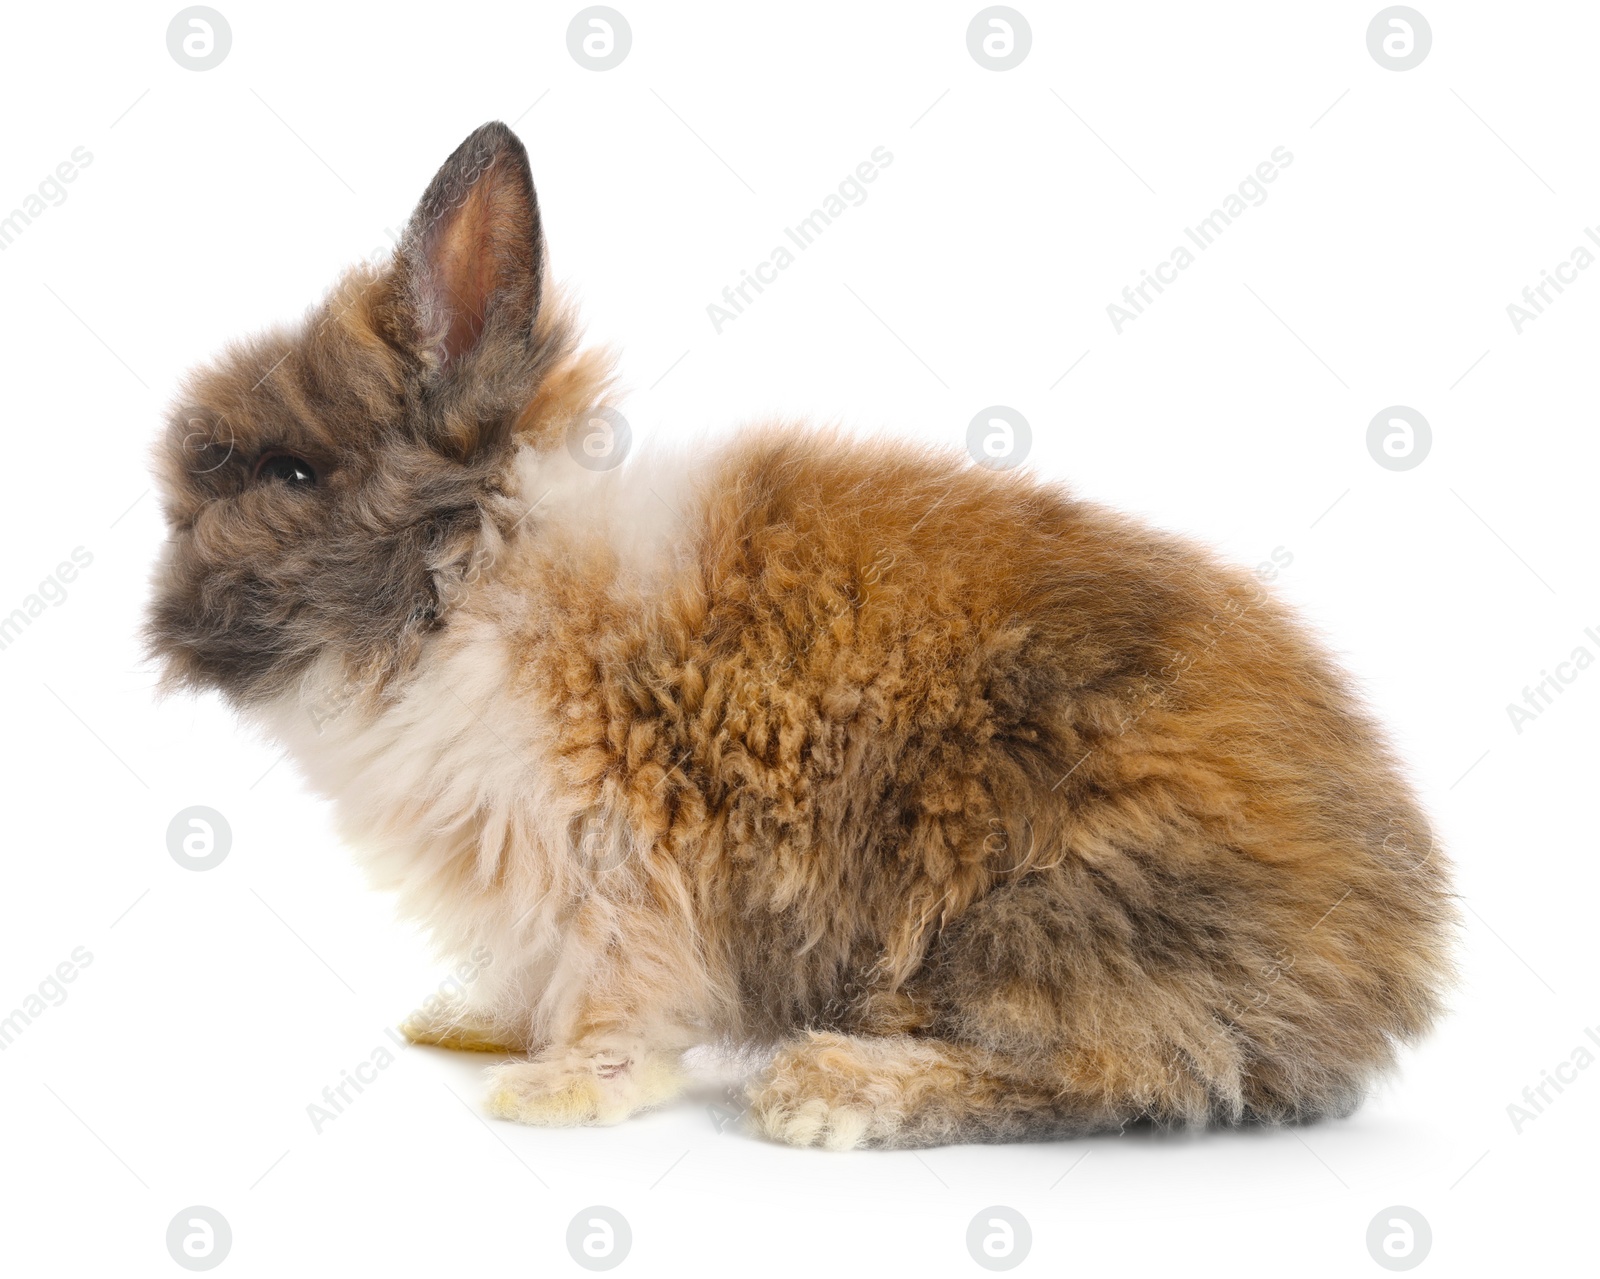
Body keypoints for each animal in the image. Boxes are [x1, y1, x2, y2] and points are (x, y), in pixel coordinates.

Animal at [144, 122, 1459, 1152]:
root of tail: (1389, 958)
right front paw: (475, 1022)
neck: (479, 574)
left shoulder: (612, 848)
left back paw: (827, 1089)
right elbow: (536, 971)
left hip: (1042, 909)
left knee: (1119, 1071)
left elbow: (618, 995)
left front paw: (557, 1091)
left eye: (289, 472)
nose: (168, 617)